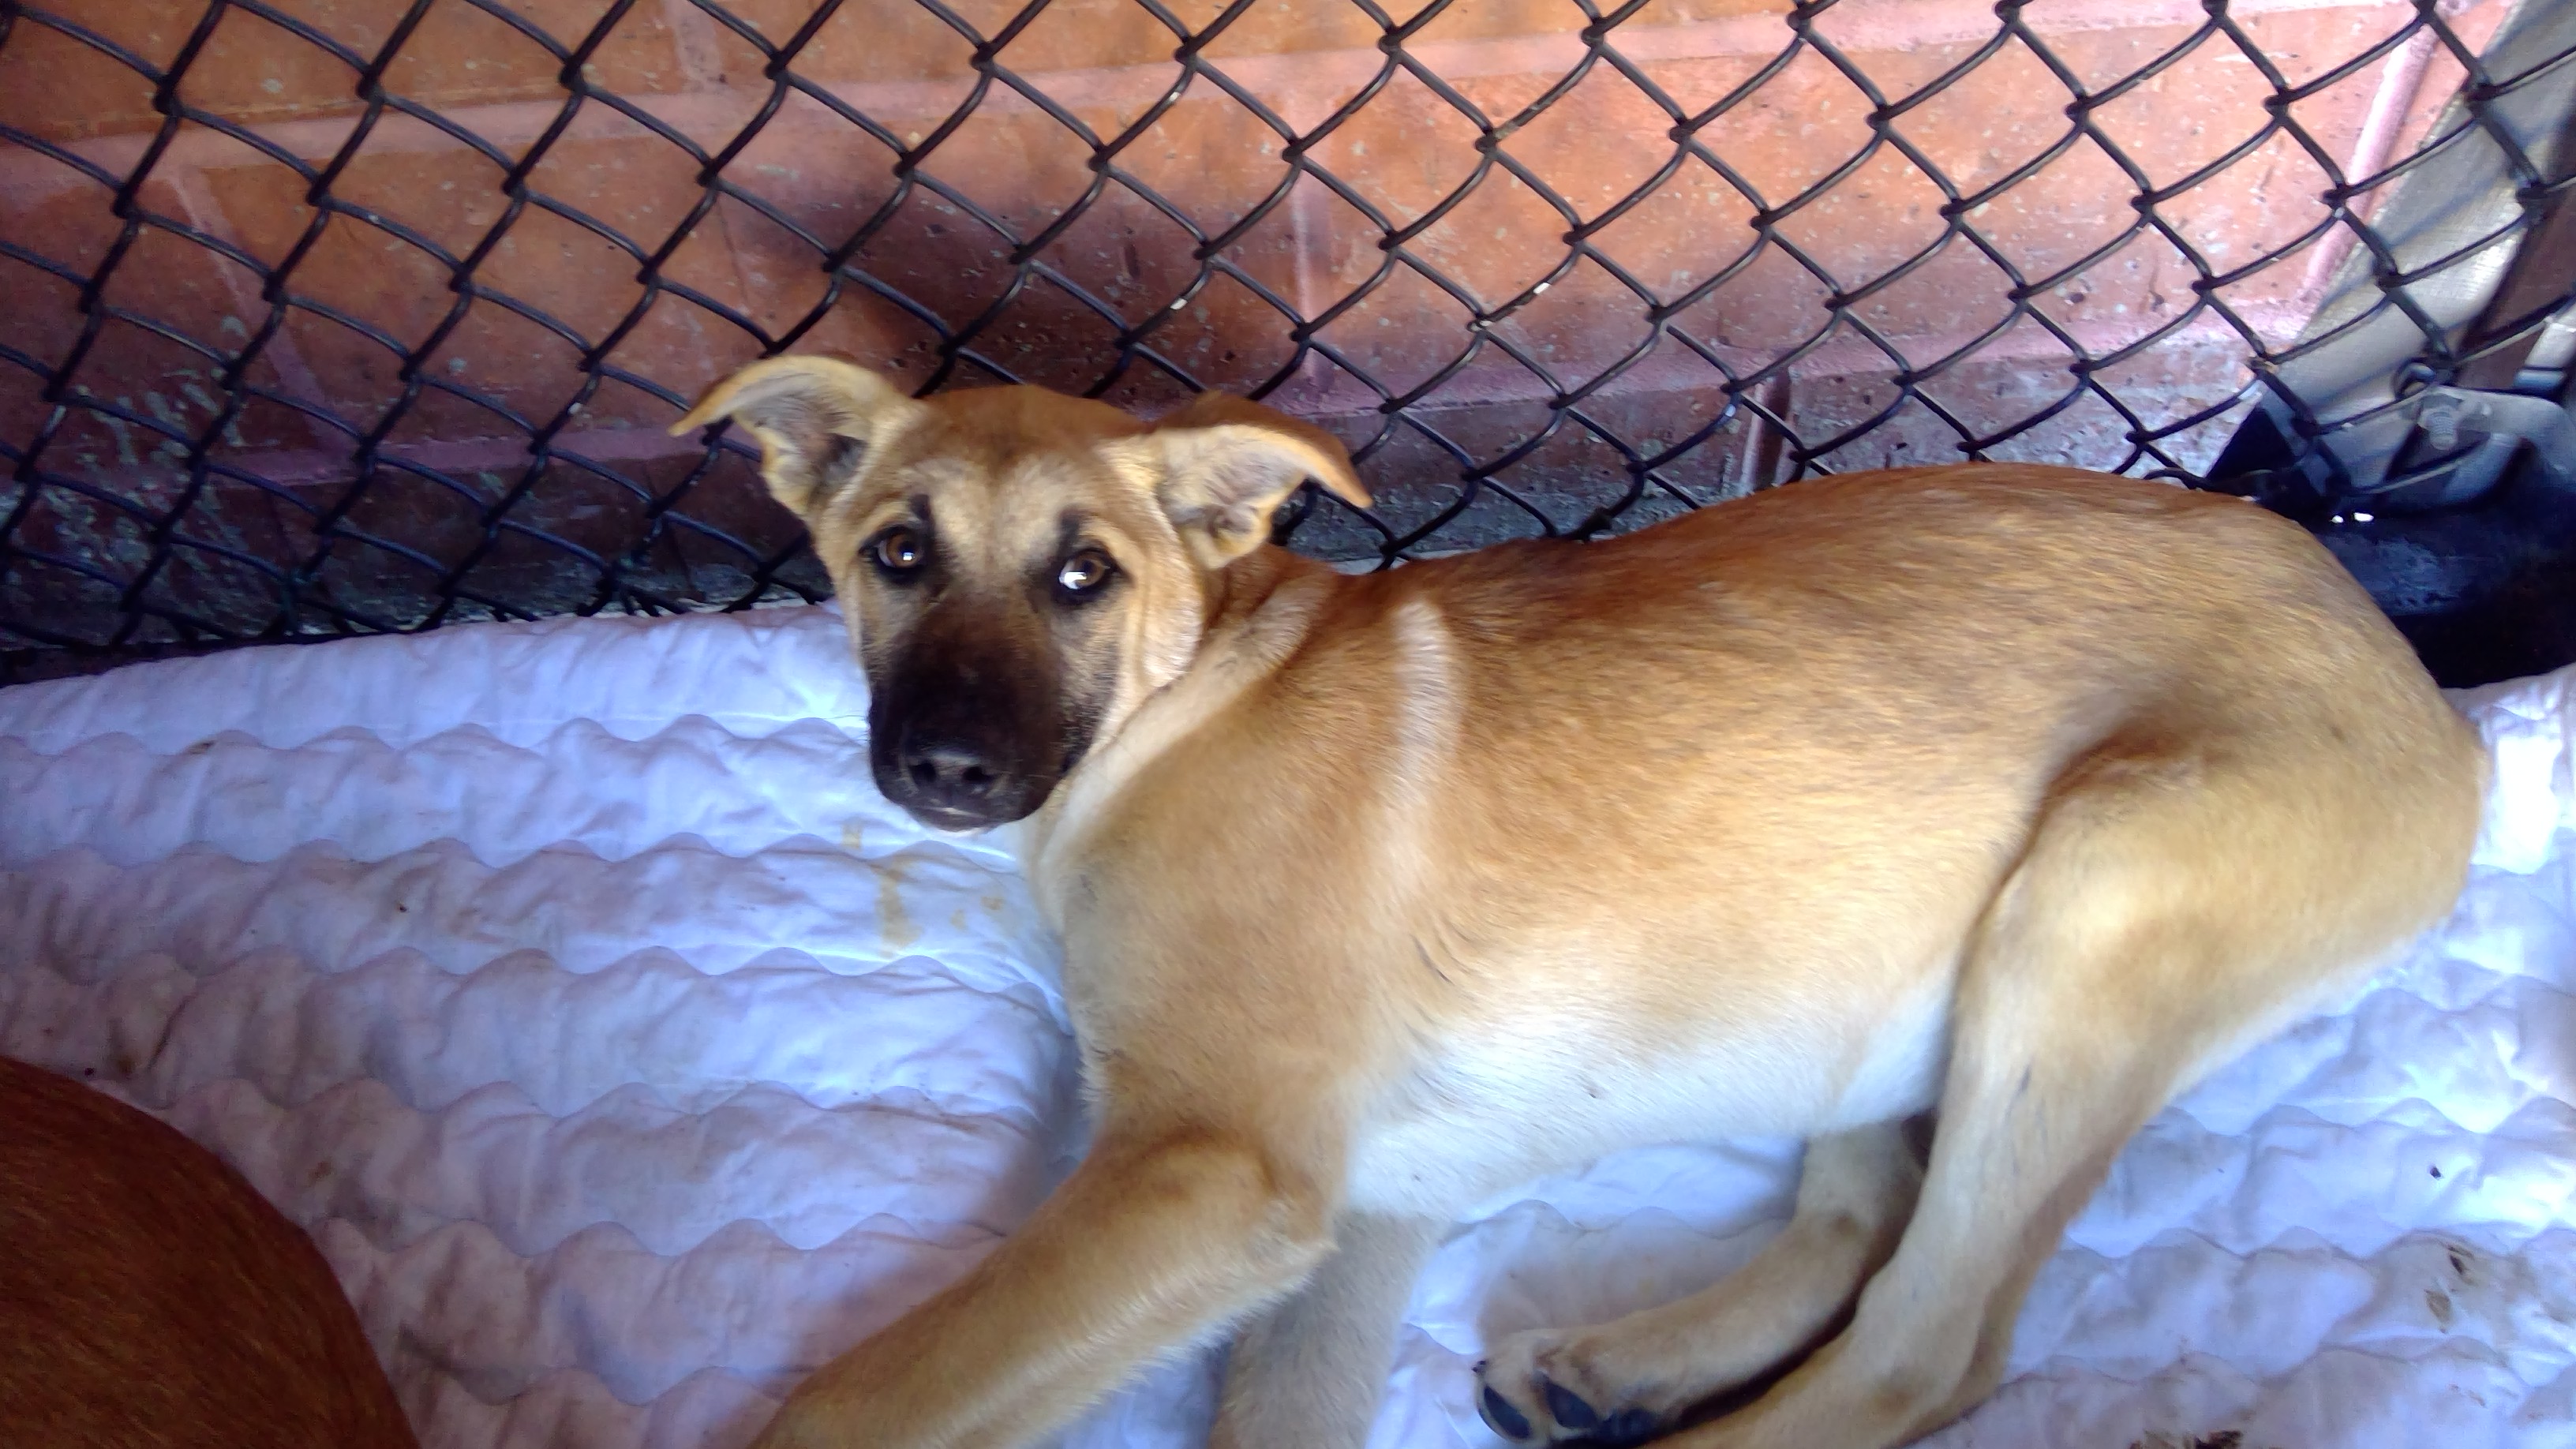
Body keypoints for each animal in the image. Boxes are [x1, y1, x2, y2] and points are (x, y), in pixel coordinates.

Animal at [671, 357, 2485, 1449]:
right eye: (898, 554)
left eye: (1081, 577)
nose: (950, 768)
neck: (1186, 699)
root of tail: (2415, 680)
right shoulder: (1347, 1217)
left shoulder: (1212, 1168)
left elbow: (856, 1401)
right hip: (1873, 981)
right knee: (1858, 1226)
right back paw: (1618, 1369)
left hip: (2088, 903)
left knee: (1930, 1343)